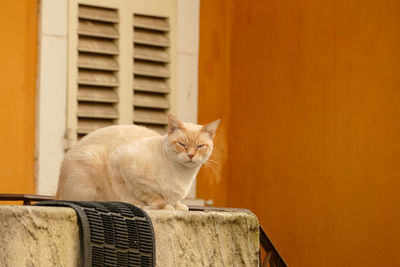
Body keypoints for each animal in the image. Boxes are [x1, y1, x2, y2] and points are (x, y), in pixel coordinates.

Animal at [55, 115, 220, 211]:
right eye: (182, 144)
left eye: (200, 146)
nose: (191, 155)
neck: (183, 175)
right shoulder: (123, 164)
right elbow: (152, 197)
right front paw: (164, 206)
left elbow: (177, 202)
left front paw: (179, 206)